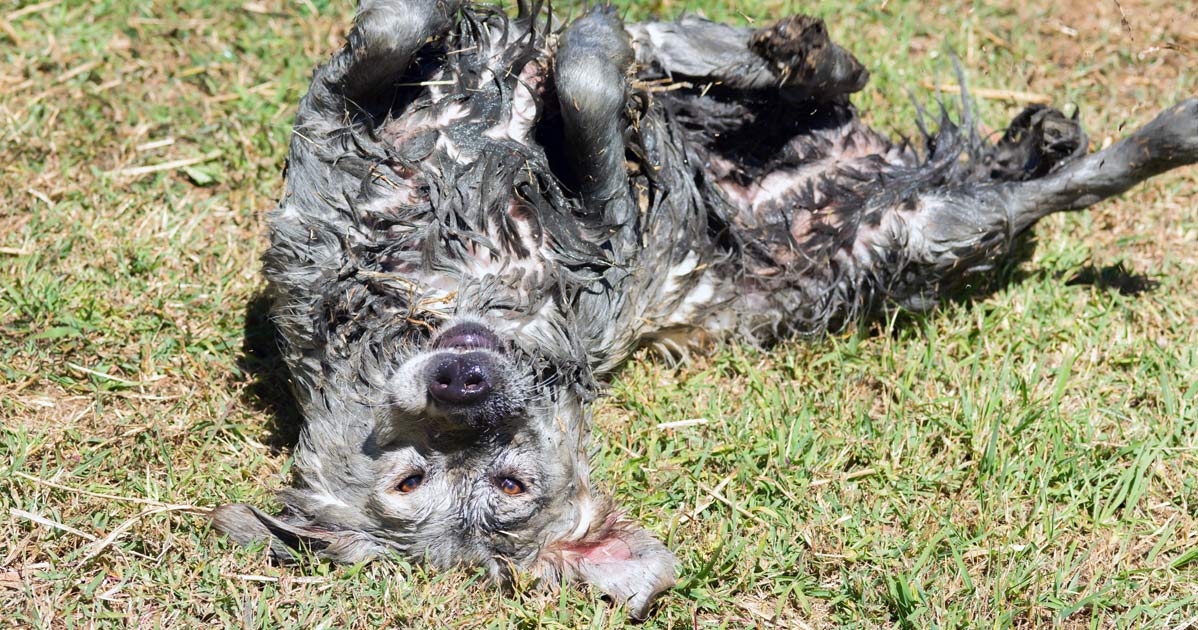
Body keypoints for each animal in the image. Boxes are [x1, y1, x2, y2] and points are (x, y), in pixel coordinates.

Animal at [215, 1, 1198, 622]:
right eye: (415, 483)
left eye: (509, 485)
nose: (468, 385)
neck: (451, 286)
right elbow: (541, 80)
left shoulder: (346, 149)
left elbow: (426, 34)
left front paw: (602, 49)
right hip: (929, 232)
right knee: (1065, 186)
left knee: (801, 80)